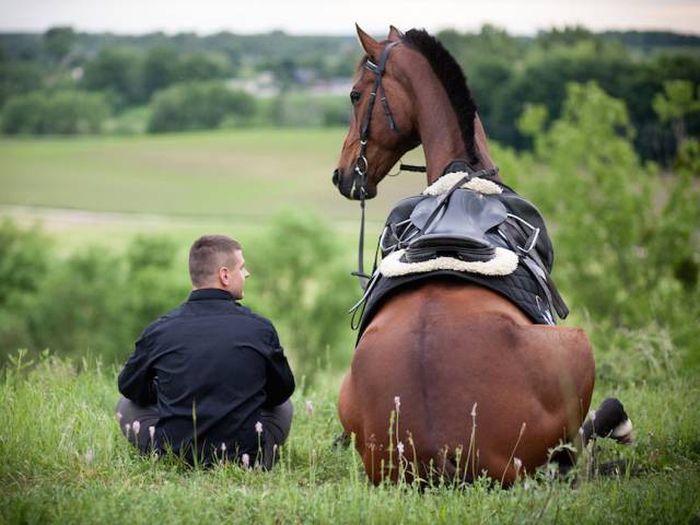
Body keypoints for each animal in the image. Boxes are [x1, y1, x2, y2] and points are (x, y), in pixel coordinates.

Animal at [330, 23, 632, 484]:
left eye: (355, 94)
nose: (342, 175)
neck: (463, 174)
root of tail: (441, 452)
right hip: (577, 349)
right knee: (580, 443)